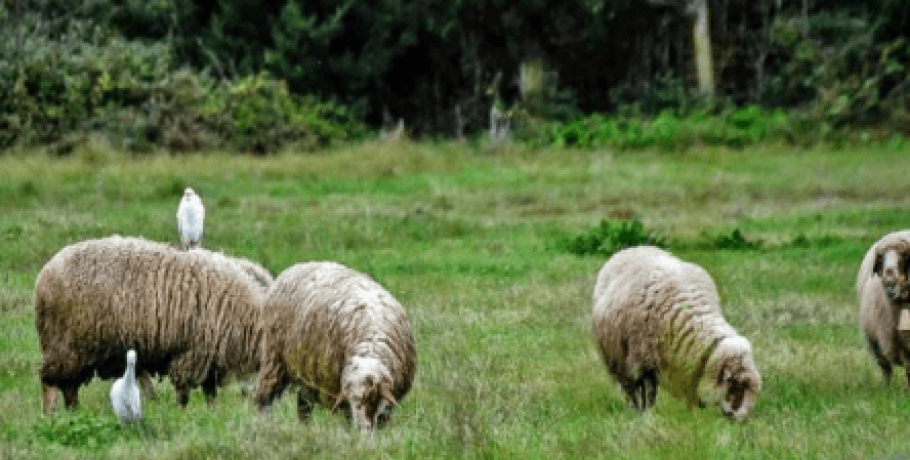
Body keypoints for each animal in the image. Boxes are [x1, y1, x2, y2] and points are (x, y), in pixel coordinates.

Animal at [35, 235, 264, 412]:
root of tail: (44, 274)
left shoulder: (208, 357)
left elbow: (210, 392)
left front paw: (211, 414)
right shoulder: (193, 352)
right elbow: (184, 391)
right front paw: (182, 413)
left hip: (76, 350)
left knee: (69, 386)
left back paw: (73, 412)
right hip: (64, 343)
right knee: (50, 381)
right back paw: (50, 415)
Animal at [253, 260, 416, 434]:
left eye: (371, 397)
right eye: (352, 400)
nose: (361, 429)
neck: (370, 344)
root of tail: (299, 265)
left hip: (306, 370)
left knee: (304, 404)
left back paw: (305, 428)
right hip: (274, 357)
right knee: (266, 398)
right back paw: (263, 426)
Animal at [592, 248, 764, 420]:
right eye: (735, 384)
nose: (743, 420)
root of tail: (634, 248)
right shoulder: (642, 362)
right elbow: (647, 394)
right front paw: (647, 415)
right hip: (618, 359)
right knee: (629, 388)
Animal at [860, 230, 910, 384]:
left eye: (904, 255)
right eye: (881, 258)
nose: (890, 284)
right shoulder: (900, 343)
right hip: (875, 342)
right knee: (885, 368)